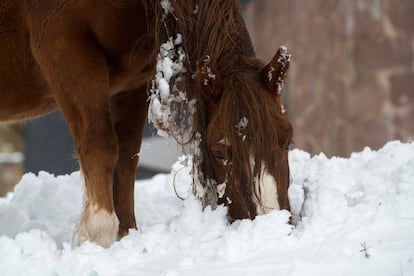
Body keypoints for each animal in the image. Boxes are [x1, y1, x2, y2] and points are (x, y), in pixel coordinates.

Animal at [0, 0, 292, 248]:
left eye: (288, 141)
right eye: (220, 152)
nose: (271, 229)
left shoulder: (133, 83)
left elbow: (126, 157)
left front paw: (125, 236)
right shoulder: (64, 49)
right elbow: (100, 146)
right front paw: (97, 238)